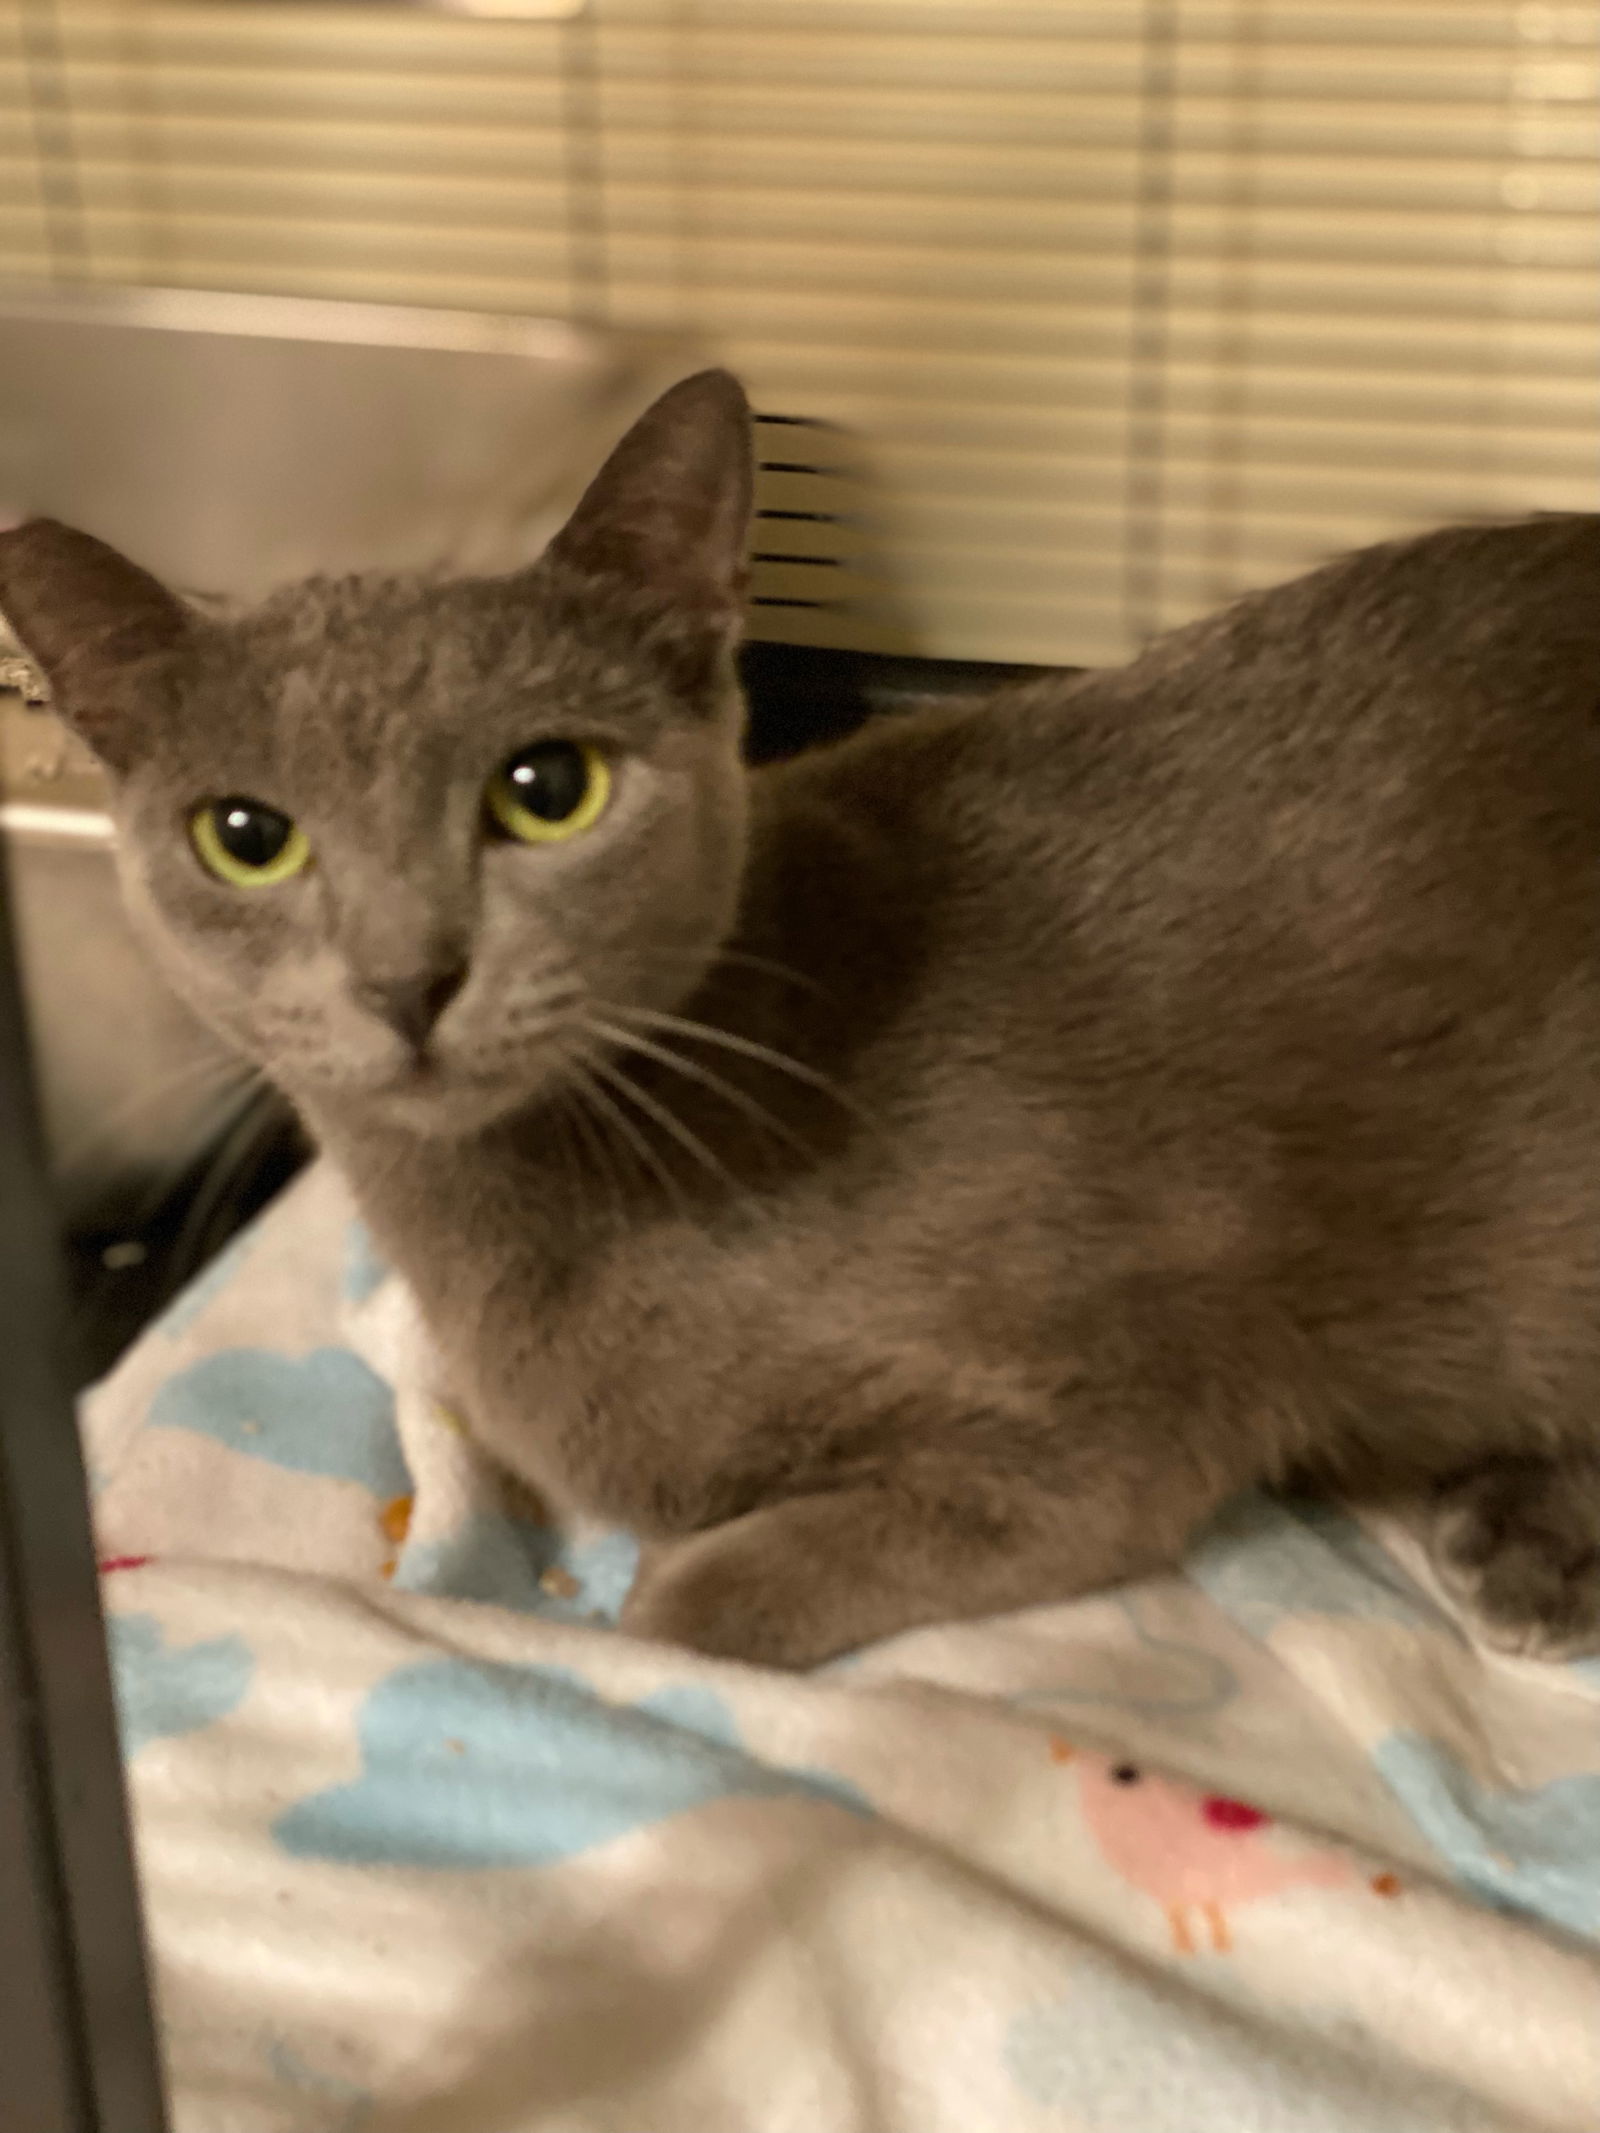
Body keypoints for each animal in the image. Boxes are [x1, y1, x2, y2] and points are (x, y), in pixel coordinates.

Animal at [3, 371, 1600, 1663]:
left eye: (548, 787)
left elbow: (699, 1600)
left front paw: (655, 1624)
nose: (409, 976)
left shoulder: (1116, 1421)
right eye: (245, 836)